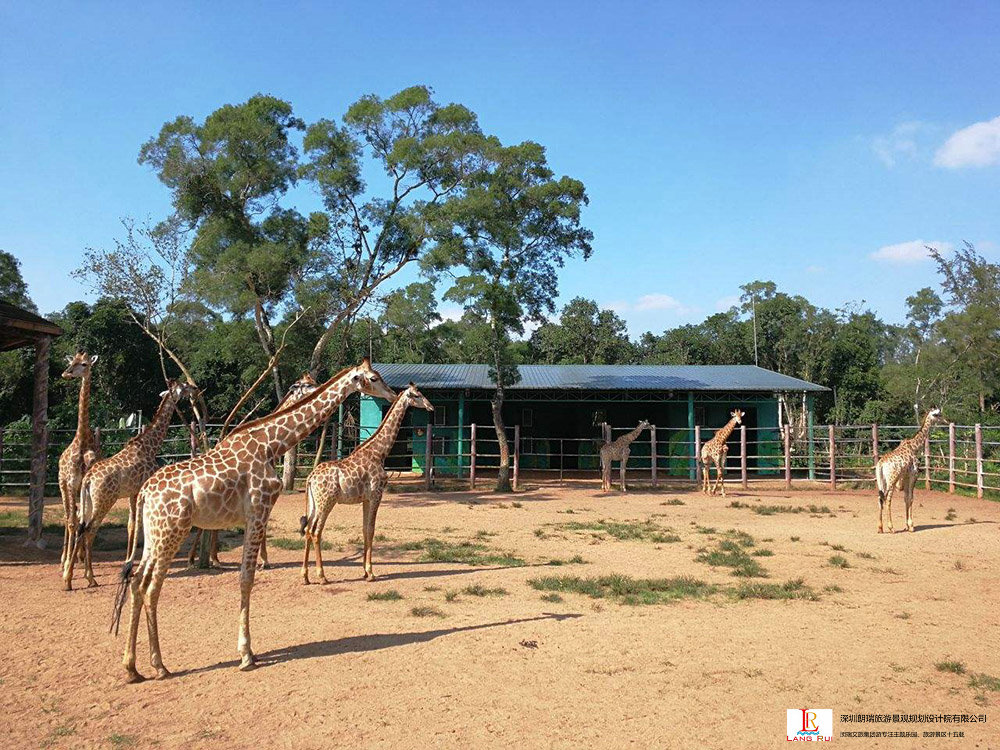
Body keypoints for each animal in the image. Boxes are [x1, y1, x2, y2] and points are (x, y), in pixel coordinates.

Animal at [63, 382, 199, 592]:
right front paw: (131, 565)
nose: (195, 388)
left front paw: (128, 563)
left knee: (80, 526)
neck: (150, 445)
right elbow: (139, 525)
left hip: (88, 500)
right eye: (183, 386)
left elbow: (131, 525)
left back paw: (69, 579)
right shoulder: (141, 489)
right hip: (104, 500)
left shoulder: (133, 492)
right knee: (90, 529)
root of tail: (88, 479)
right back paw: (89, 578)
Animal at [184, 370, 316, 568]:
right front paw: (264, 560)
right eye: (304, 384)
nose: (318, 388)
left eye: (313, 381)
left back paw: (211, 557)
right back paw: (199, 558)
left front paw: (262, 559)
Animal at [300, 382, 434, 588]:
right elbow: (371, 530)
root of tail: (310, 478)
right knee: (316, 531)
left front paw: (364, 571)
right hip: (326, 502)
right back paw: (322, 576)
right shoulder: (376, 494)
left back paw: (305, 576)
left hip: (314, 503)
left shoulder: (365, 498)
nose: (431, 407)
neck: (379, 452)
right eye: (417, 395)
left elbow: (364, 530)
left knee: (307, 530)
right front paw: (370, 573)